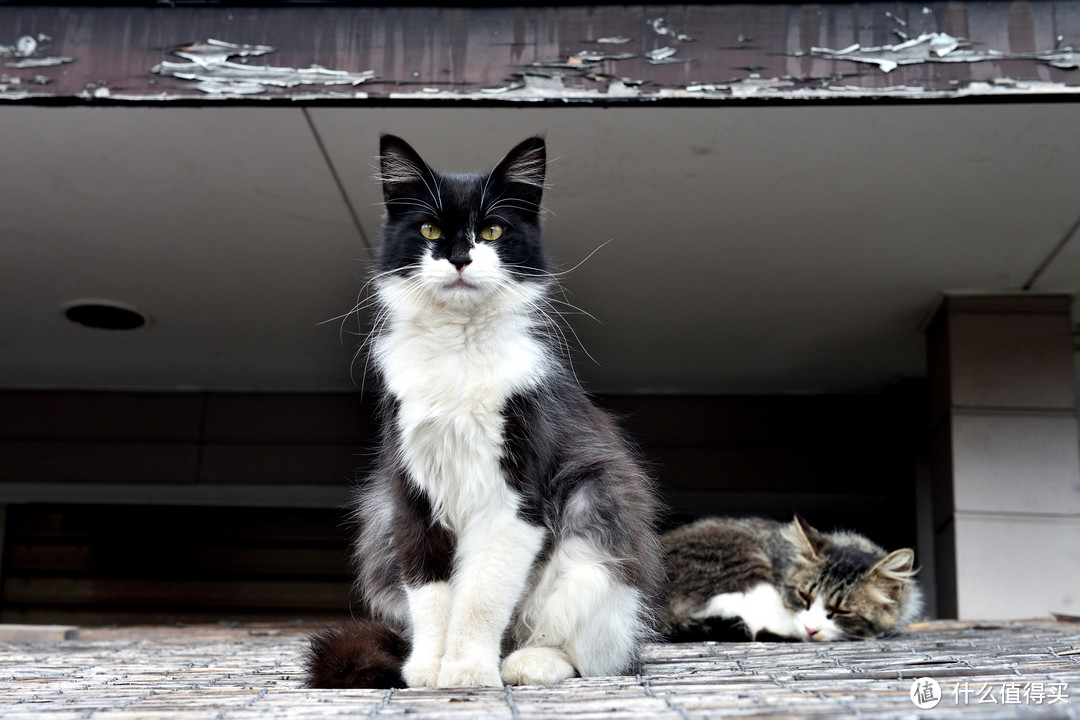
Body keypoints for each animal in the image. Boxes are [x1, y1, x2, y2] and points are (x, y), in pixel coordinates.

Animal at [300, 136, 665, 690]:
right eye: (429, 230)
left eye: (492, 230)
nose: (459, 258)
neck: (459, 349)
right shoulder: (410, 497)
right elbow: (432, 594)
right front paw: (428, 669)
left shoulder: (514, 500)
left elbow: (479, 597)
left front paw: (468, 671)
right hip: (378, 525)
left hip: (594, 514)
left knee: (594, 653)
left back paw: (527, 663)